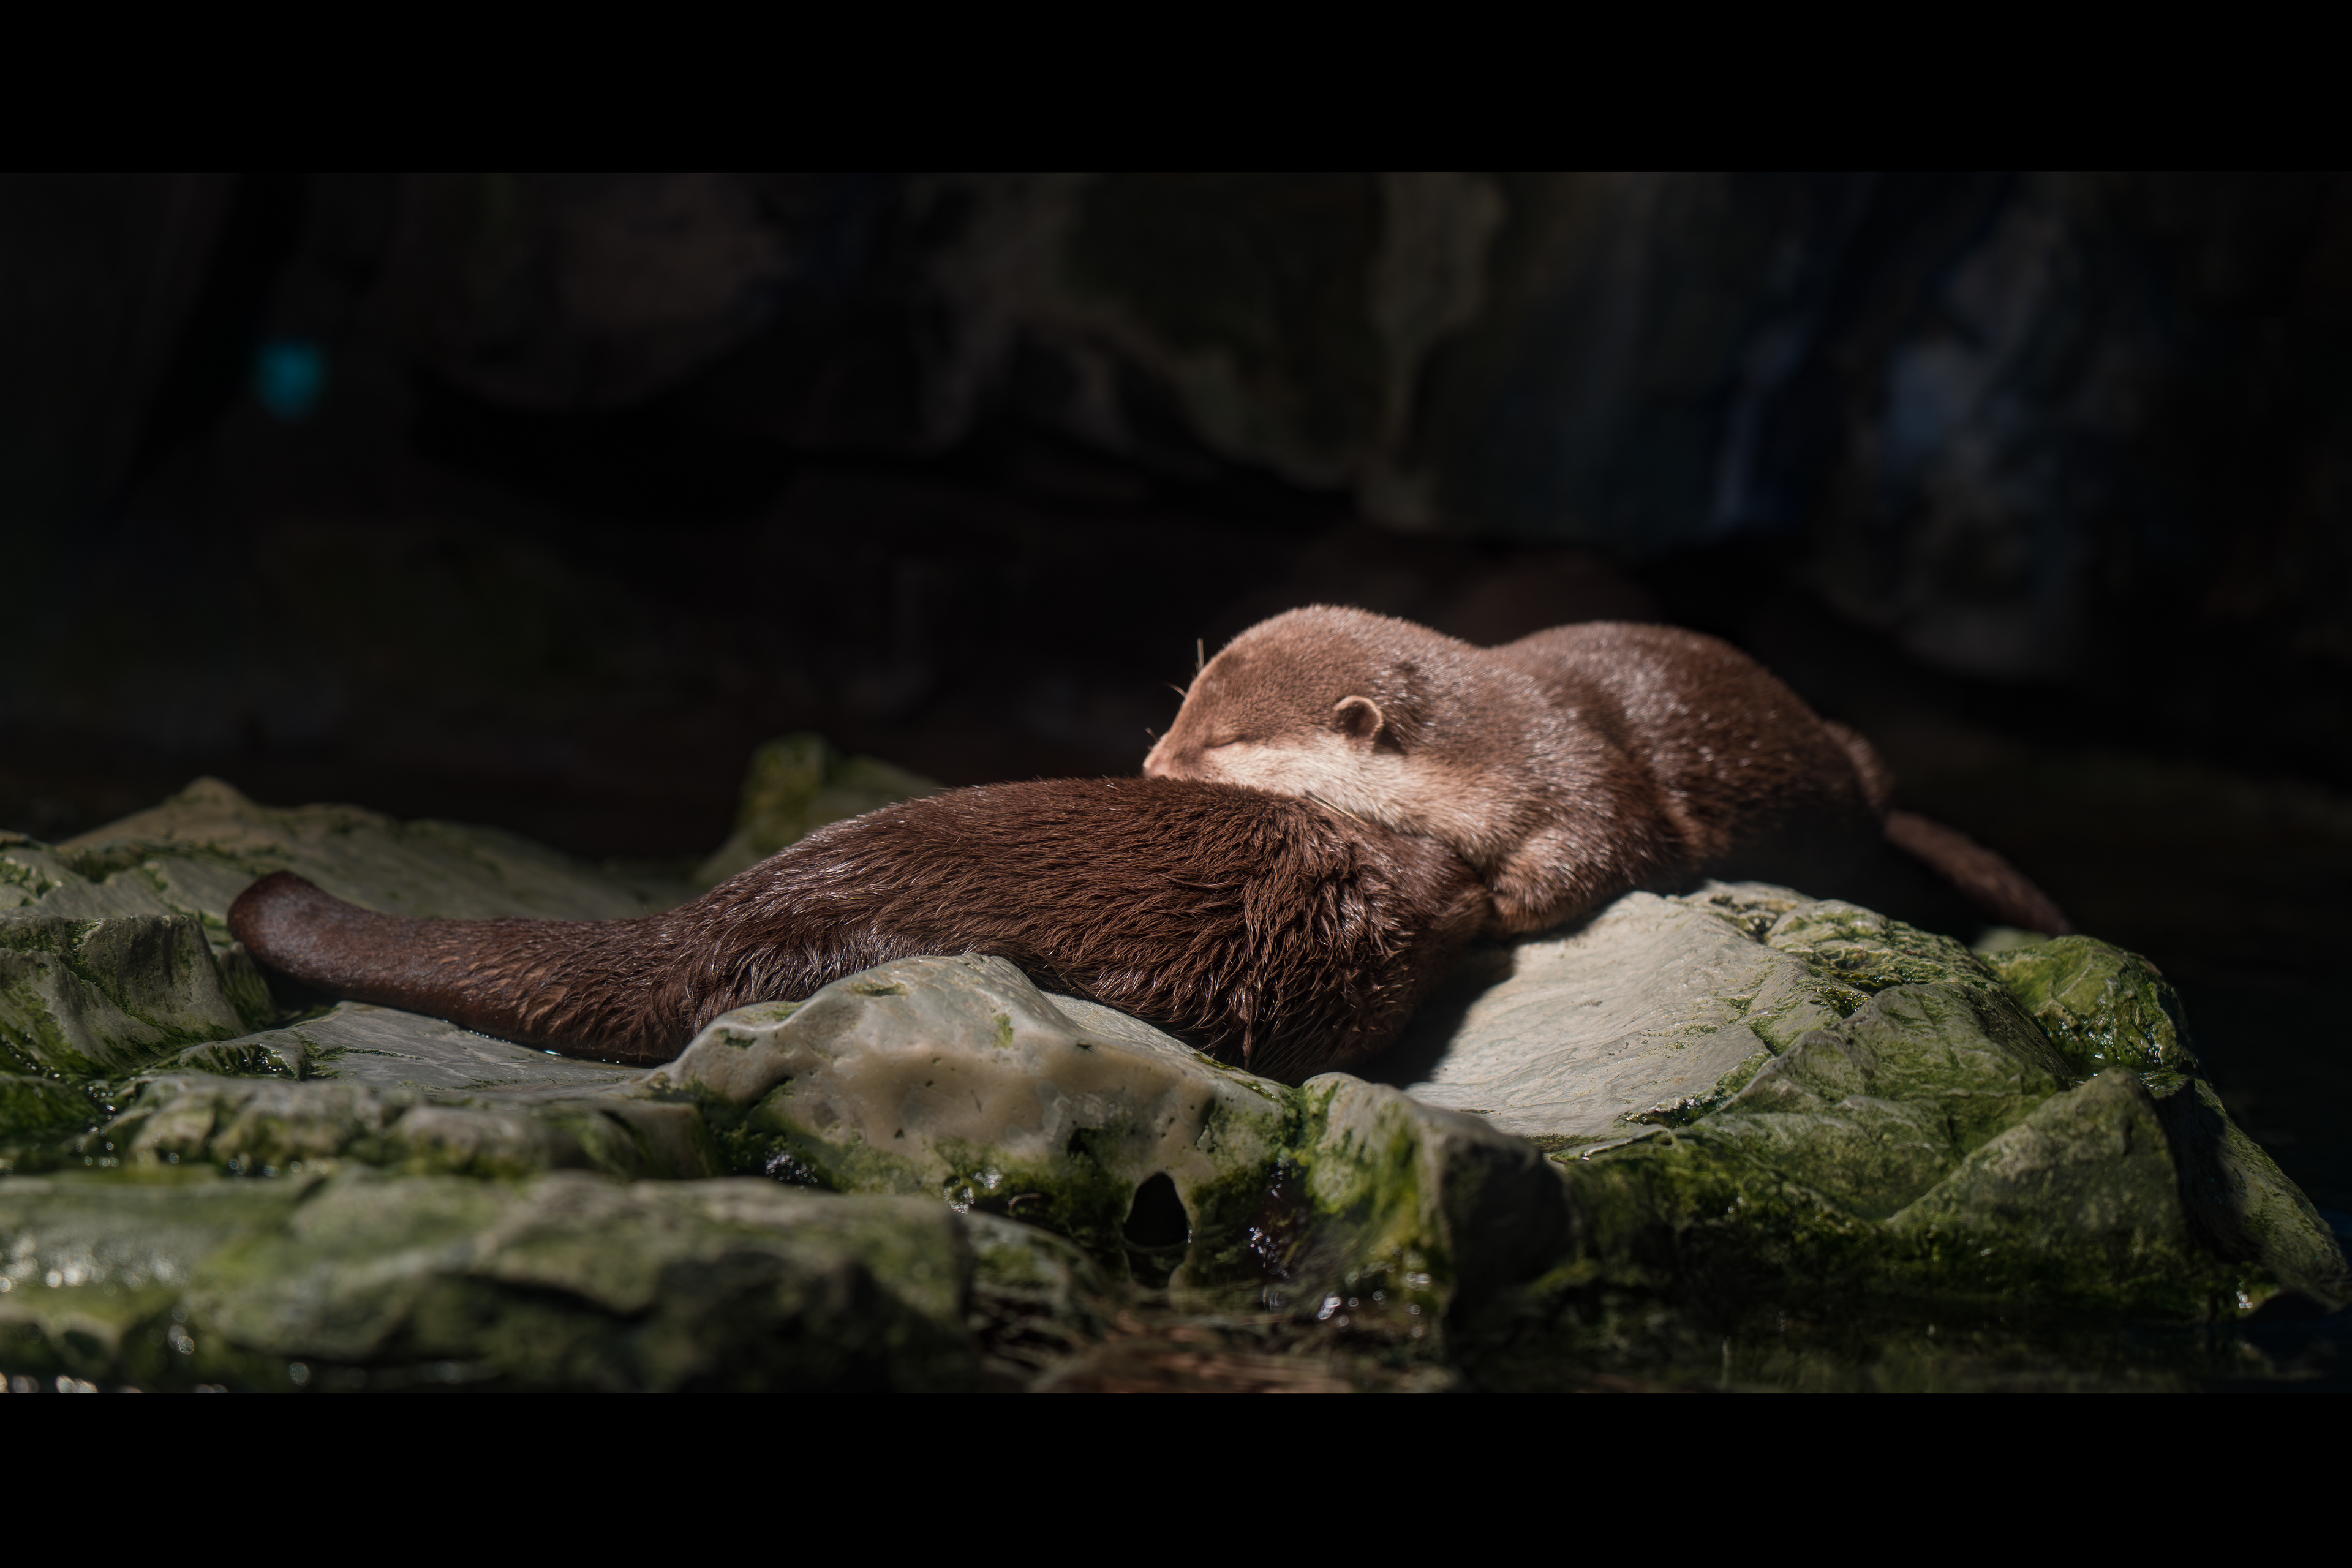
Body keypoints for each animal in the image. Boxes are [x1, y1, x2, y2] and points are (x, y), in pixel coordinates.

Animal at [1142, 606, 2068, 938]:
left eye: (1224, 740)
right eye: (1182, 706)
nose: (1152, 763)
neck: (1496, 742)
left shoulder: (1580, 772)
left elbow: (1610, 850)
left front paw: (1494, 906)